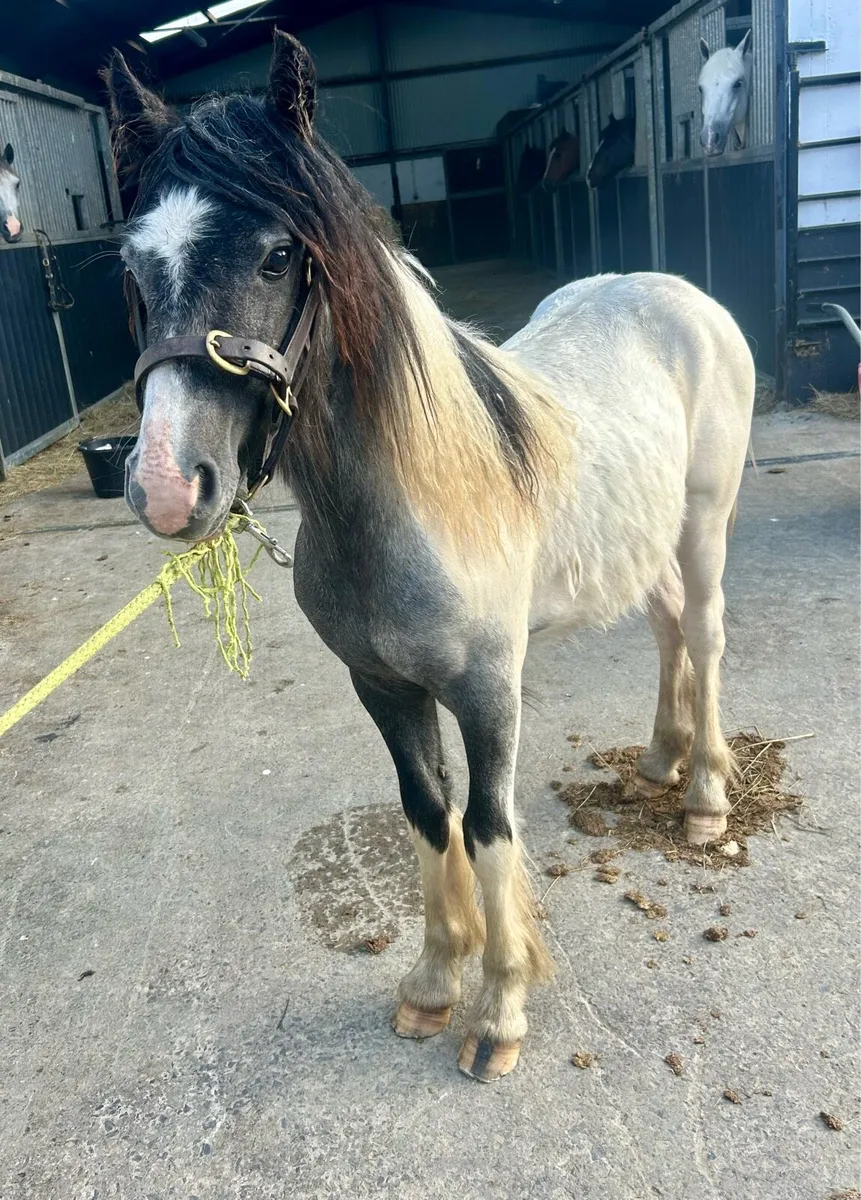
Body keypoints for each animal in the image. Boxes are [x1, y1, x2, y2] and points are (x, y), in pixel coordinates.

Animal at [105, 32, 755, 1083]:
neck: (407, 505)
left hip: (704, 526)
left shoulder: (489, 692)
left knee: (702, 633)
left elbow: (486, 826)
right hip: (645, 539)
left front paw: (499, 1013)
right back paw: (659, 759)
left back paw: (702, 798)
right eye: (135, 262)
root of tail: (677, 296)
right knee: (664, 631)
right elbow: (425, 811)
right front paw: (432, 984)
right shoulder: (382, 687)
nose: (166, 485)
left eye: (278, 255)